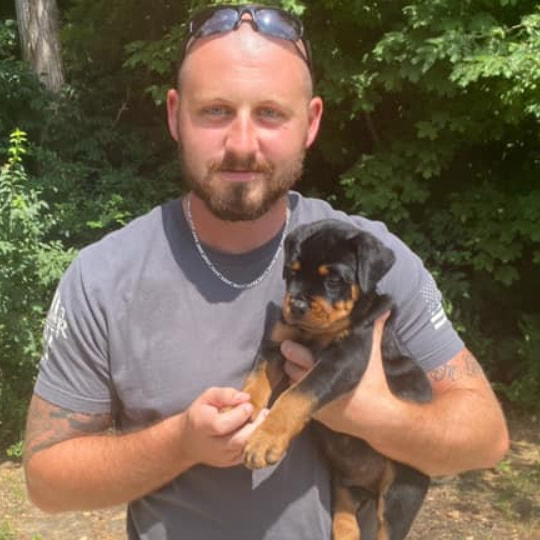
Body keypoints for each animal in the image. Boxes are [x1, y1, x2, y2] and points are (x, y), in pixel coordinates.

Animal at [243, 219, 432, 540]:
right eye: (291, 272)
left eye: (333, 280)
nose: (297, 305)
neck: (315, 334)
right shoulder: (277, 343)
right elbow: (258, 378)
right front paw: (241, 408)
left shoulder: (344, 359)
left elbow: (298, 393)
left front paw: (264, 439)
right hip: (343, 484)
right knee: (345, 518)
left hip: (400, 493)